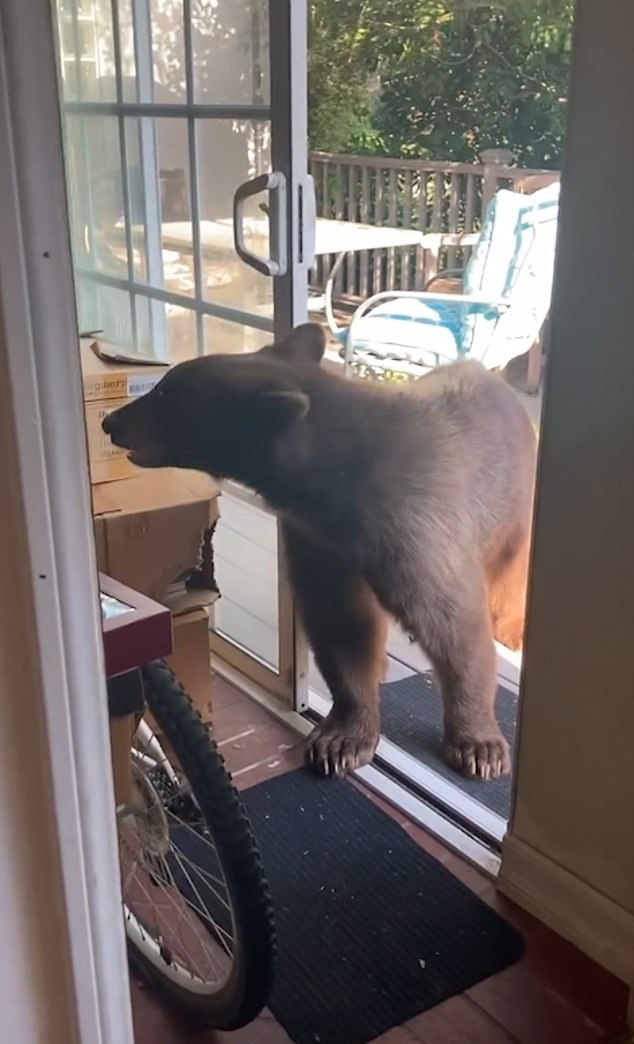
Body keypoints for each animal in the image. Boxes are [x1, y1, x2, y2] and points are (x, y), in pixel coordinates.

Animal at [102, 321, 534, 780]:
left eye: (166, 394)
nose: (111, 421)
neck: (338, 488)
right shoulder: (320, 538)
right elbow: (341, 622)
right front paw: (341, 739)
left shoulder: (416, 524)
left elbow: (453, 625)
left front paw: (479, 746)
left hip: (514, 503)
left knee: (510, 573)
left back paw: (511, 627)